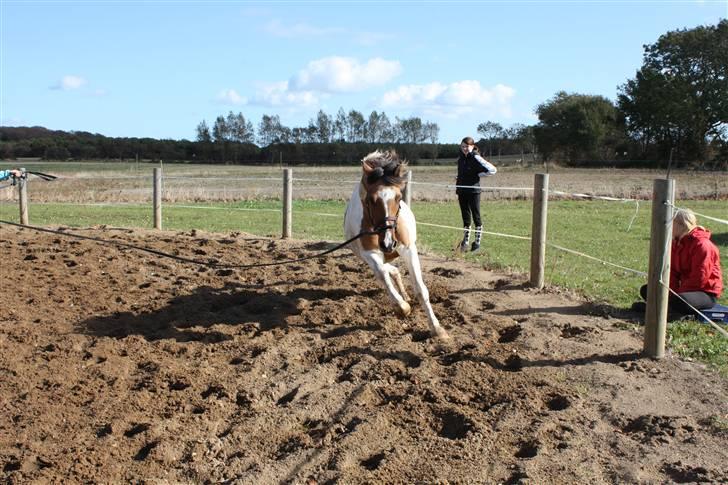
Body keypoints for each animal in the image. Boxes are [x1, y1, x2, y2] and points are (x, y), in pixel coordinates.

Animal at [342, 149, 450, 338]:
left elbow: (421, 289)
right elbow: (383, 276)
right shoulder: (370, 254)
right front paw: (403, 308)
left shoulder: (408, 249)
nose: (388, 243)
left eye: (399, 197)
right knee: (388, 271)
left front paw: (437, 329)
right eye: (371, 199)